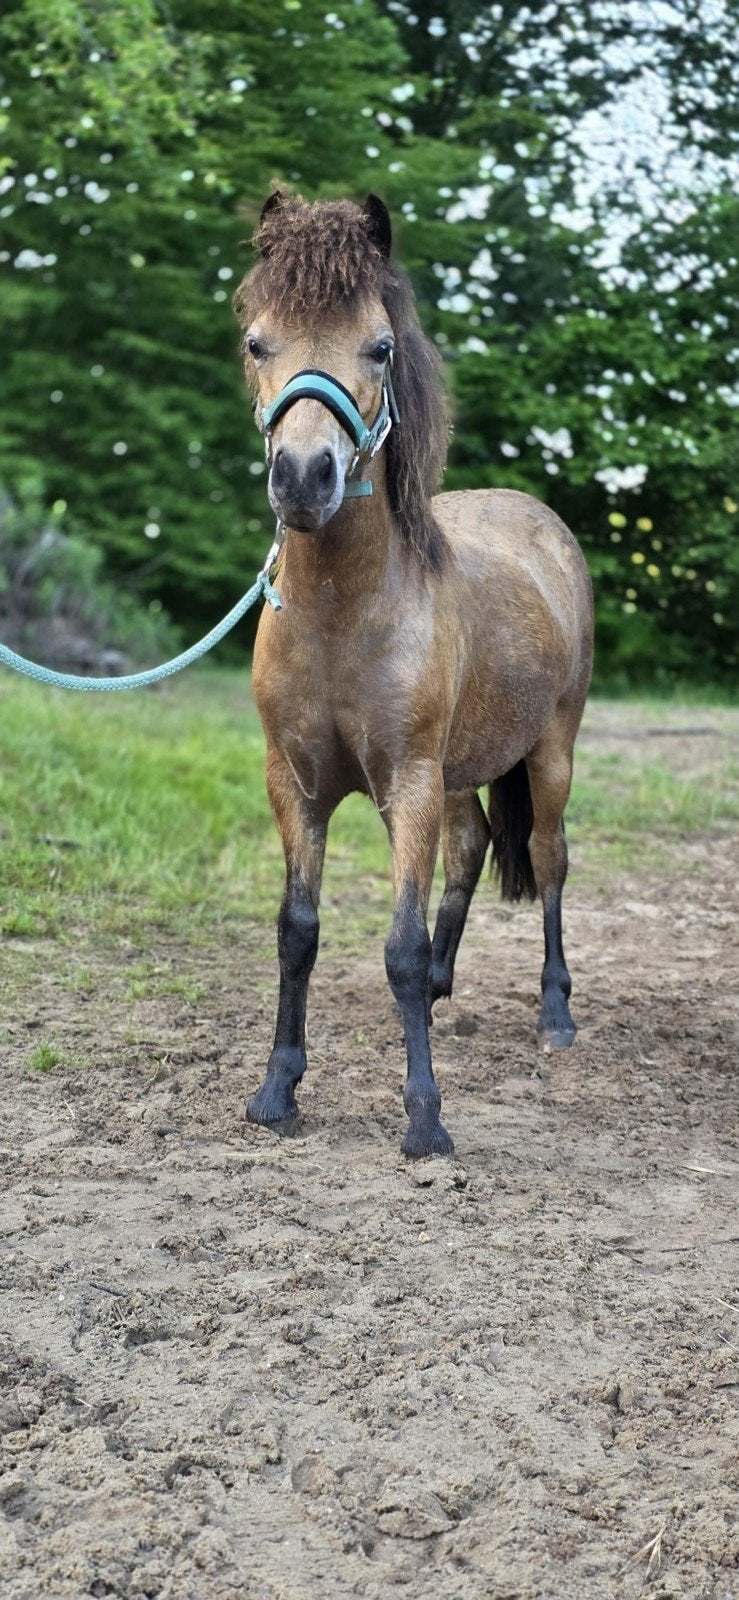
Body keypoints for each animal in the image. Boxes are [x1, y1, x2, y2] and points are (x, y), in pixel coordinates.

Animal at [233, 192, 593, 1159]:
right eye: (256, 341)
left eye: (380, 347)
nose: (303, 477)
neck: (342, 616)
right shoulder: (295, 785)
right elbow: (297, 932)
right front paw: (277, 1090)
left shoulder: (409, 785)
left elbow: (393, 944)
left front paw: (425, 1117)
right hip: (464, 771)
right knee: (470, 853)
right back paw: (440, 985)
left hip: (549, 753)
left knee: (547, 860)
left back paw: (554, 1016)